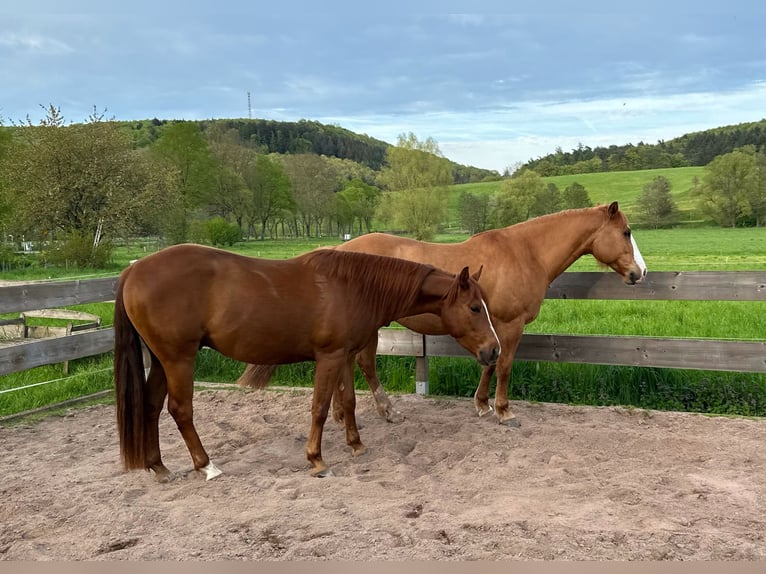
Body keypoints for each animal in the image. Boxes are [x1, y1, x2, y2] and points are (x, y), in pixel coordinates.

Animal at [114, 244, 500, 481]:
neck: (352, 288)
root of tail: (133, 271)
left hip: (161, 361)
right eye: (474, 308)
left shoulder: (345, 355)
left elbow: (348, 401)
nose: (493, 351)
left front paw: (356, 445)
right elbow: (320, 407)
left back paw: (158, 467)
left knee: (151, 407)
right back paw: (206, 466)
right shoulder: (329, 358)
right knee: (180, 410)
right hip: (179, 359)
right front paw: (316, 460)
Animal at [240, 201, 646, 426]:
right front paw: (503, 411)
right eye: (626, 232)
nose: (640, 273)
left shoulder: (490, 328)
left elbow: (488, 364)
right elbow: (504, 366)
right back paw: (385, 411)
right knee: (365, 364)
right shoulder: (509, 325)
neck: (523, 252)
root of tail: (339, 251)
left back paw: (344, 414)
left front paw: (481, 405)